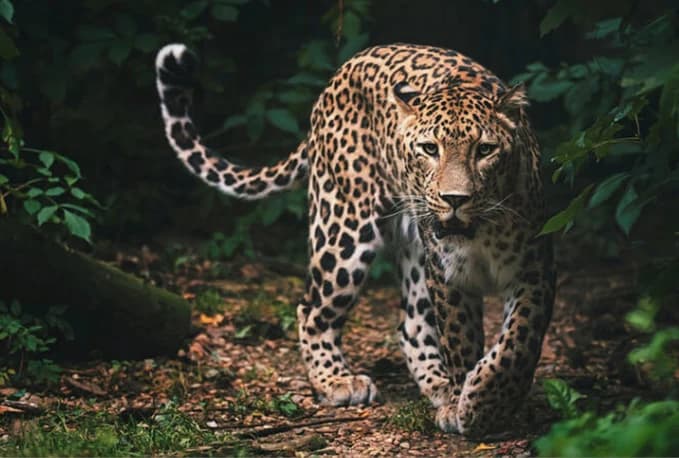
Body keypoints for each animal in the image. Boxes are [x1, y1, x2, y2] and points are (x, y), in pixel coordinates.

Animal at [155, 42, 555, 437]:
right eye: (430, 149)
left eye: (485, 150)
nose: (454, 199)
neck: (481, 231)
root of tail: (344, 70)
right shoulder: (447, 275)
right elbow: (461, 340)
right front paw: (469, 406)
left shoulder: (534, 269)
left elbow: (518, 343)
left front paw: (486, 401)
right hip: (344, 229)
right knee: (311, 309)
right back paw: (338, 381)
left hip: (412, 250)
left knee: (411, 323)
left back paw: (438, 386)